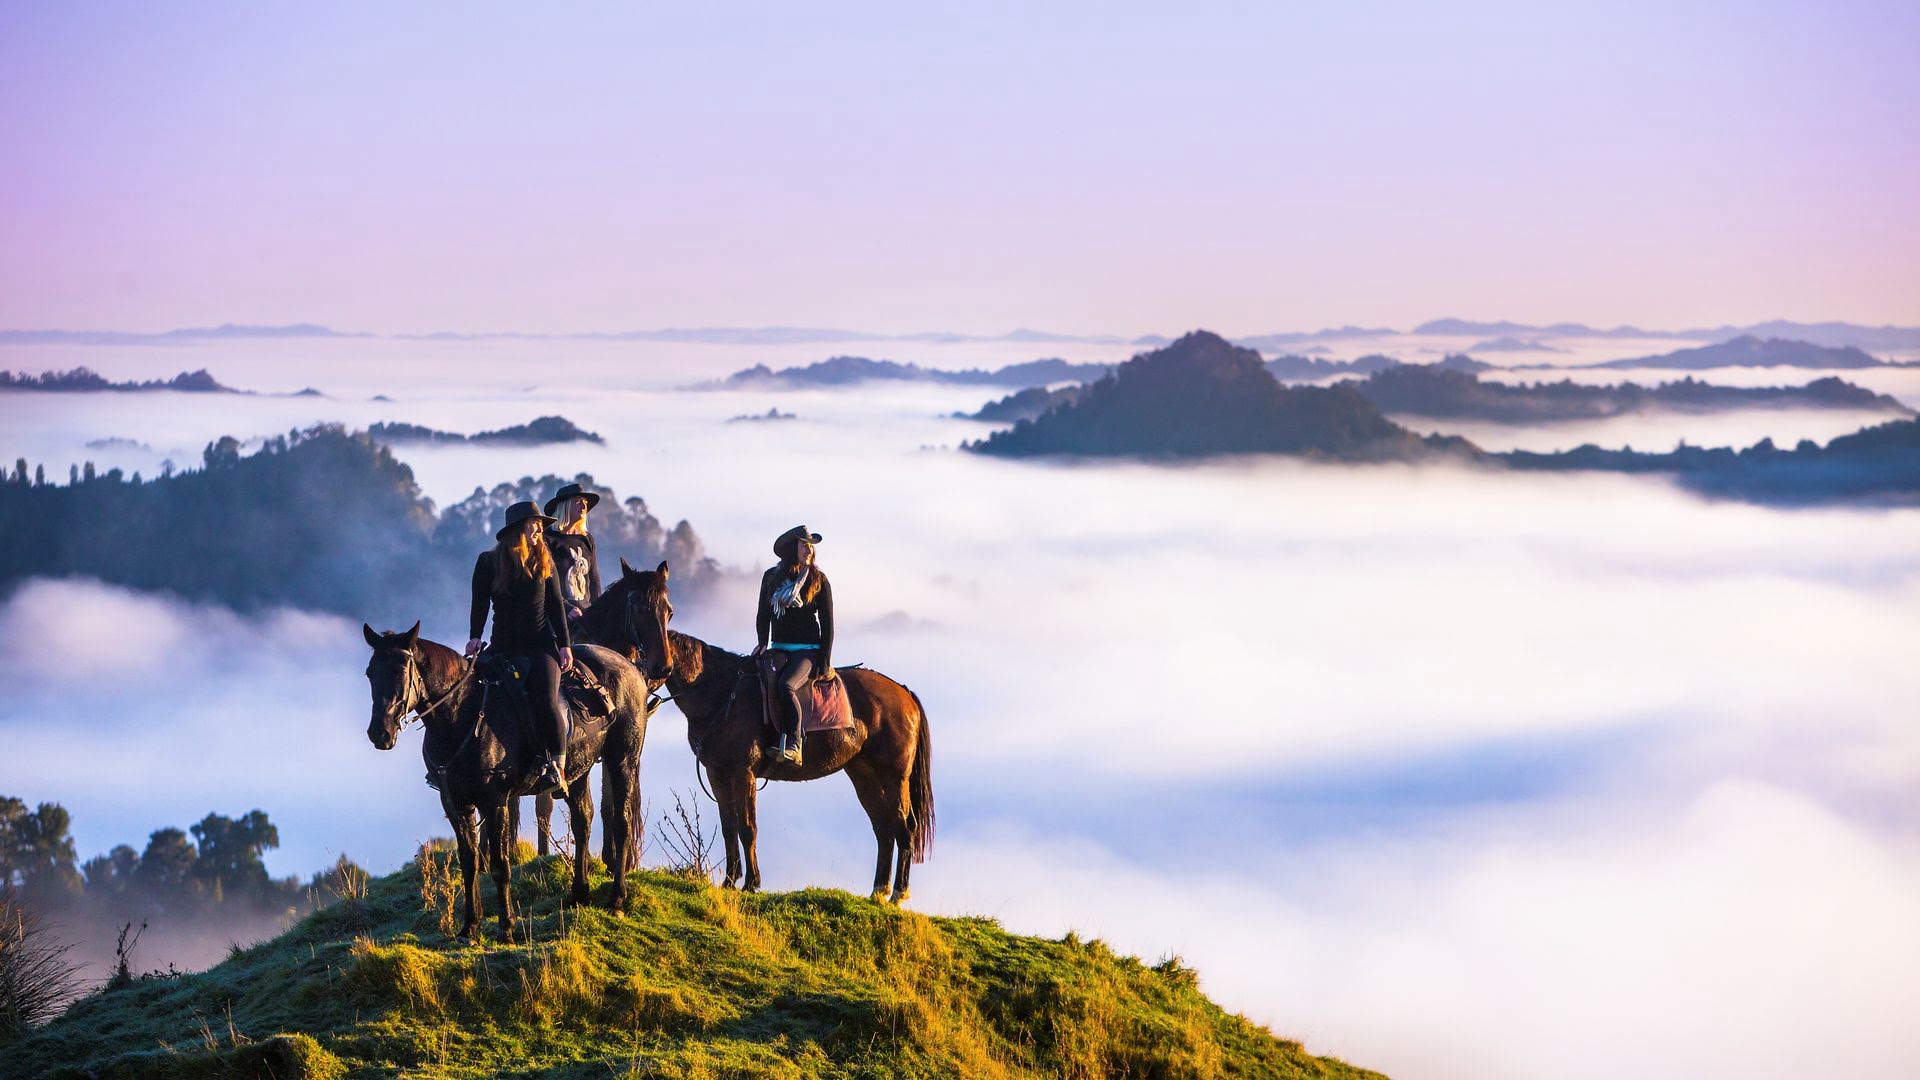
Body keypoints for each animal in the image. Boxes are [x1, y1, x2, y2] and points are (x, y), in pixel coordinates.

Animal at [362, 622, 651, 939]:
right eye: (370, 672)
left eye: (401, 670)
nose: (379, 733)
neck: (463, 715)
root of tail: (629, 666)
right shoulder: (455, 802)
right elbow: (470, 862)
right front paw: (469, 927)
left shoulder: (495, 800)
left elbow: (500, 865)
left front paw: (506, 928)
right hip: (579, 770)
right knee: (582, 821)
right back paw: (579, 894)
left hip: (622, 760)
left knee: (621, 823)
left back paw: (616, 900)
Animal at [597, 560, 933, 903]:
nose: (657, 670)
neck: (721, 690)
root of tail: (904, 694)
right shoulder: (718, 773)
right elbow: (729, 825)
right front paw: (730, 881)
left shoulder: (743, 772)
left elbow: (748, 827)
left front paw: (751, 882)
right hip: (865, 775)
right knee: (884, 829)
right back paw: (879, 891)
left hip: (893, 777)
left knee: (903, 827)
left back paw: (898, 893)